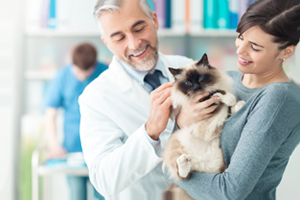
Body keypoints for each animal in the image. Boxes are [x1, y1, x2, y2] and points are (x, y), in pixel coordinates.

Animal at [163, 53, 245, 200]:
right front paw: (227, 98)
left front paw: (238, 104)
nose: (196, 87)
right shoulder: (200, 101)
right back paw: (184, 161)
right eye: (188, 83)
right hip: (176, 143)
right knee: (183, 175)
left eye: (201, 78)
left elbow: (228, 107)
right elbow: (215, 95)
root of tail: (203, 168)